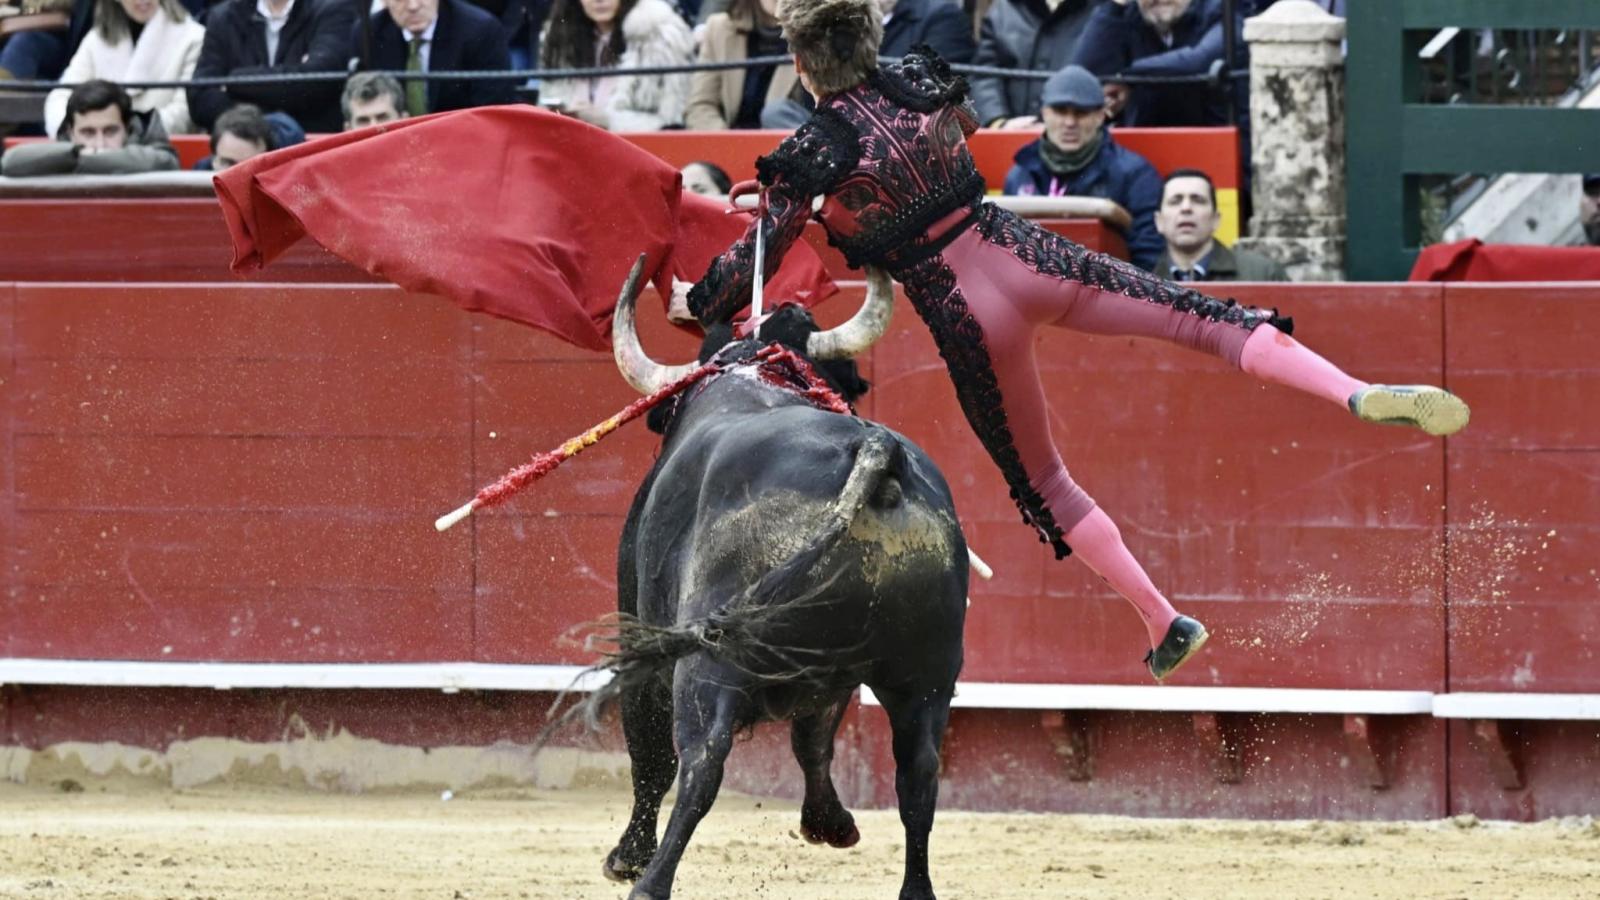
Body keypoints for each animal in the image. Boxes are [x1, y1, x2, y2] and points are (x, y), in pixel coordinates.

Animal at [595, 256, 966, 890]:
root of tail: (875, 452)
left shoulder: (642, 635)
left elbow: (648, 750)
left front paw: (627, 856)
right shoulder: (831, 674)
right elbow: (813, 738)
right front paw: (830, 824)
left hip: (708, 661)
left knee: (700, 763)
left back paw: (649, 883)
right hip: (929, 672)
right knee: (917, 777)